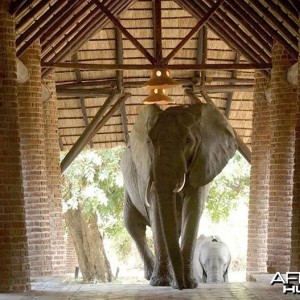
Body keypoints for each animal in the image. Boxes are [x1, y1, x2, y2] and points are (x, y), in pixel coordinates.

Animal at [120, 102, 237, 288]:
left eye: (188, 141)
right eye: (149, 142)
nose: (180, 286)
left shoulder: (203, 162)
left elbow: (193, 208)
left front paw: (188, 284)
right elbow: (156, 212)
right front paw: (161, 283)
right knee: (133, 225)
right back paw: (151, 276)